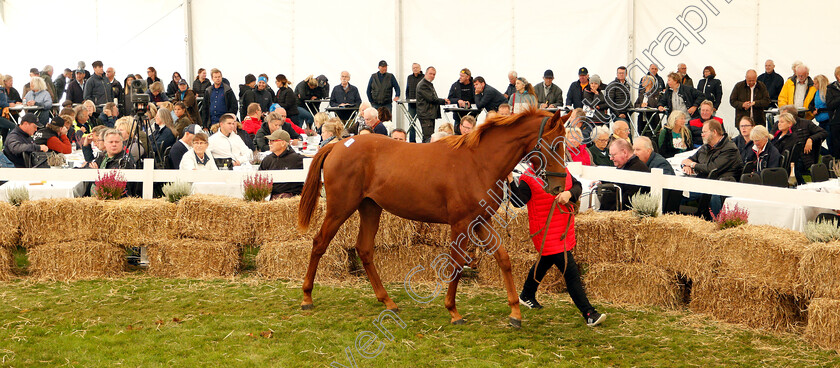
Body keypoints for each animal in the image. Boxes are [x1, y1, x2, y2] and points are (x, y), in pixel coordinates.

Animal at [296, 108, 572, 326]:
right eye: (554, 144)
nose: (559, 187)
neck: (478, 162)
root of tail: (338, 145)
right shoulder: (461, 224)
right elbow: (456, 263)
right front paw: (453, 311)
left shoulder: (481, 221)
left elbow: (503, 259)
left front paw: (515, 312)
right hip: (340, 208)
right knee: (319, 243)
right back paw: (307, 297)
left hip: (370, 208)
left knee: (364, 249)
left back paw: (387, 301)